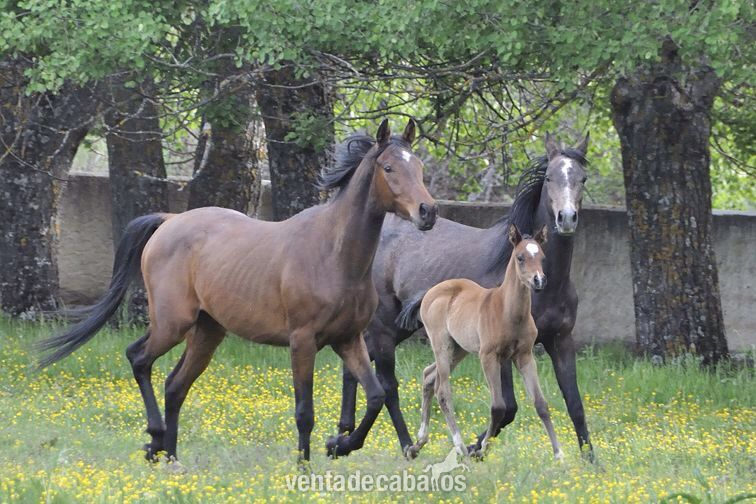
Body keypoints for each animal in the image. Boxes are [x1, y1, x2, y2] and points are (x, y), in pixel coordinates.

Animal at [38, 118, 438, 464]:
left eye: (419, 166)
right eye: (388, 167)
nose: (428, 211)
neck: (334, 255)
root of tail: (169, 221)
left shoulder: (348, 339)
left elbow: (376, 396)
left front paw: (339, 445)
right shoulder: (303, 340)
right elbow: (304, 411)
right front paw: (304, 466)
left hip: (207, 332)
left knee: (175, 385)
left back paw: (171, 458)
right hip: (172, 324)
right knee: (139, 359)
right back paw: (155, 440)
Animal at [408, 223, 563, 461]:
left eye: (542, 257)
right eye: (520, 257)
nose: (539, 280)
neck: (508, 312)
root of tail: (430, 292)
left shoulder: (525, 356)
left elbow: (541, 403)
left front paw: (558, 453)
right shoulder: (488, 356)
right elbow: (498, 406)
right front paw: (480, 449)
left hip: (458, 349)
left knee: (428, 375)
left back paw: (418, 443)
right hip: (441, 344)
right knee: (442, 391)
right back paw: (460, 447)